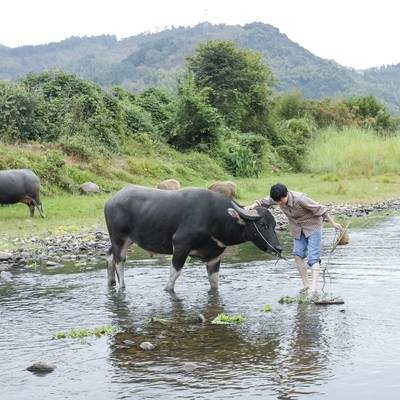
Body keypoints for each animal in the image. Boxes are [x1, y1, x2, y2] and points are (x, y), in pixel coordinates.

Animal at [104, 184, 282, 290]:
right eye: (262, 225)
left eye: (274, 225)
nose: (278, 248)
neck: (215, 219)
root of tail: (110, 201)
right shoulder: (180, 246)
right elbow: (173, 276)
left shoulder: (215, 257)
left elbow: (214, 282)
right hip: (119, 239)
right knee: (120, 261)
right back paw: (122, 287)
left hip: (121, 240)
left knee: (109, 256)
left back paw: (111, 283)